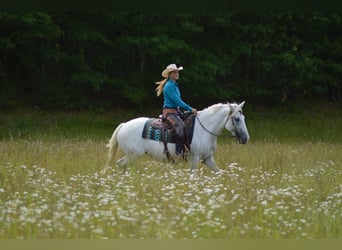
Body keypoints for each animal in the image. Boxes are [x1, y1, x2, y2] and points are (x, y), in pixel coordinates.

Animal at [103, 100, 250, 173]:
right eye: (237, 119)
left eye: (243, 118)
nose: (245, 139)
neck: (204, 130)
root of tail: (124, 125)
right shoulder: (194, 158)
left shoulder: (207, 158)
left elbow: (218, 172)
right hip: (133, 154)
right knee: (121, 164)